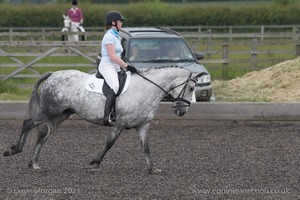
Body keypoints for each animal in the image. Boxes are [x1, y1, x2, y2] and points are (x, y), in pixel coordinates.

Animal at [3, 67, 207, 173]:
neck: (146, 89)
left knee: (44, 134)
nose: (182, 111)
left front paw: (152, 168)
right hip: (48, 111)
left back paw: (35, 163)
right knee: (28, 124)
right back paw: (13, 150)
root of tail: (52, 74)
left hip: (61, 114)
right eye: (190, 87)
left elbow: (146, 147)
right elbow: (109, 143)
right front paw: (95, 162)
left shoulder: (142, 125)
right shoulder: (120, 123)